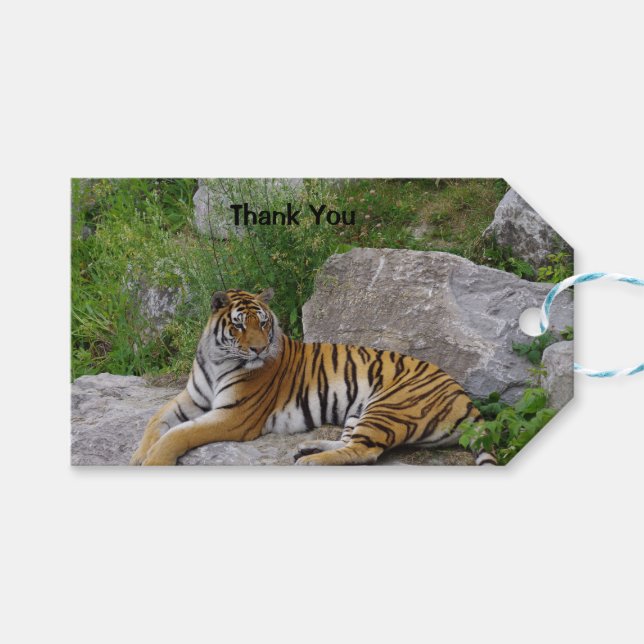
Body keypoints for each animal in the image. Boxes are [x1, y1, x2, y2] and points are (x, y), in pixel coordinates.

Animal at [130, 288, 496, 466]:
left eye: (264, 323)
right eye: (239, 325)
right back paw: (307, 449)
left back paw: (309, 462)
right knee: (350, 442)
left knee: (364, 452)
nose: (260, 349)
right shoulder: (192, 397)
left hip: (389, 406)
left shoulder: (234, 416)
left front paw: (154, 461)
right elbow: (156, 420)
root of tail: (466, 398)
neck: (218, 359)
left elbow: (181, 434)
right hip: (359, 411)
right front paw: (138, 455)